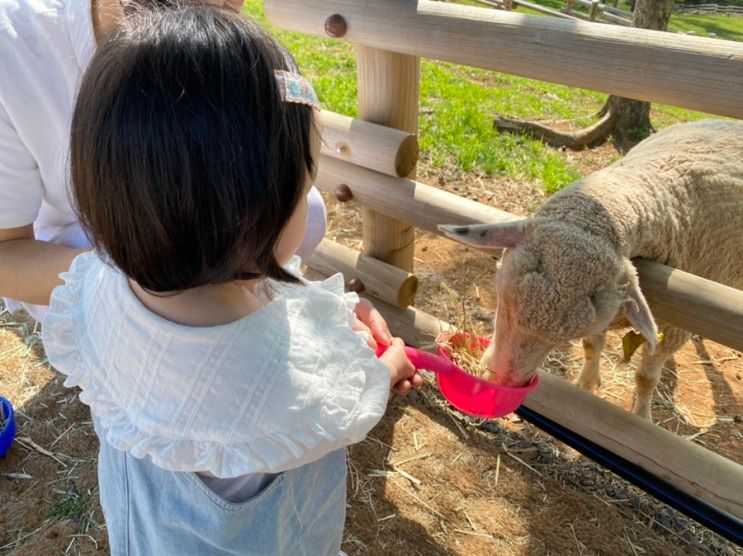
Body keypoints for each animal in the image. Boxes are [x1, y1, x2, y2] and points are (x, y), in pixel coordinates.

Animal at [442, 119, 743, 420]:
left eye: (562, 339)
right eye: (502, 304)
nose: (501, 380)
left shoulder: (673, 330)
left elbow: (646, 378)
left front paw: (641, 416)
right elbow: (591, 347)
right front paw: (585, 384)